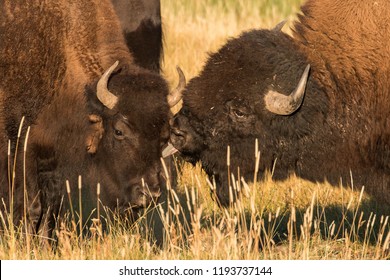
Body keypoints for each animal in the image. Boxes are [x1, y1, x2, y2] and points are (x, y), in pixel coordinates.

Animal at [0, 0, 183, 234]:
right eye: (119, 131)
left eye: (164, 135)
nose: (148, 194)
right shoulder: (23, 148)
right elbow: (31, 206)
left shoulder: (55, 159)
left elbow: (51, 208)